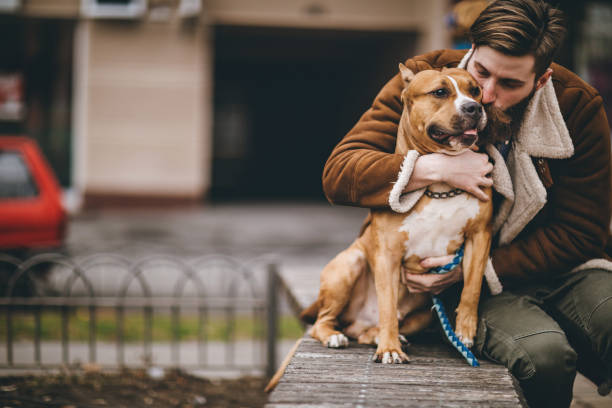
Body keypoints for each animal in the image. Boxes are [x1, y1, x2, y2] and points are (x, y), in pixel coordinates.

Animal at [302, 65, 492, 364]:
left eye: (475, 90)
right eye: (440, 92)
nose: (474, 107)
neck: (440, 185)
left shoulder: (479, 236)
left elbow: (471, 288)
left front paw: (465, 331)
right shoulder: (387, 254)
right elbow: (388, 306)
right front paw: (390, 349)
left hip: (425, 313)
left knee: (367, 330)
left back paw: (378, 335)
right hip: (348, 265)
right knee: (323, 321)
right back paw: (338, 335)